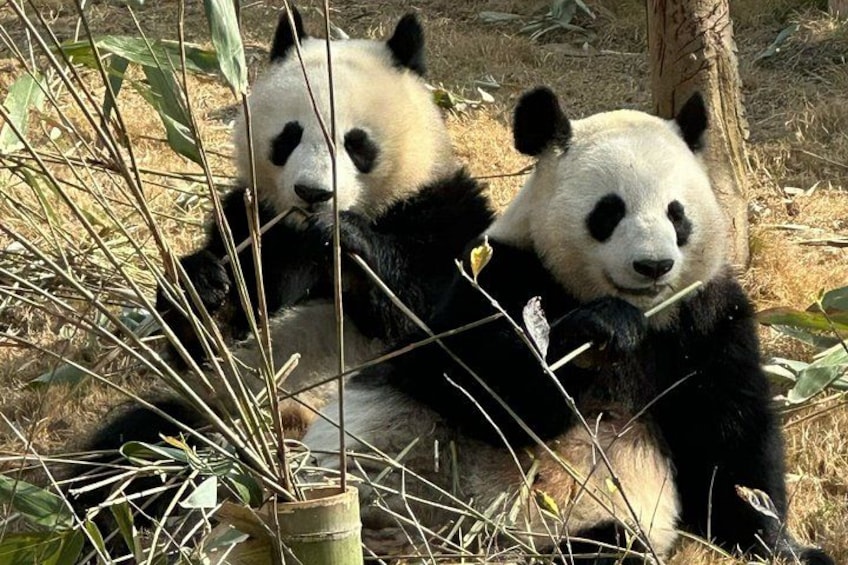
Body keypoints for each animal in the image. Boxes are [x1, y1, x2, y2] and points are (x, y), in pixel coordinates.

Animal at [156, 6, 493, 413]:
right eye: (289, 136)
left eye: (356, 143)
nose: (312, 193)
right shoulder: (253, 224)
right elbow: (206, 350)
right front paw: (201, 283)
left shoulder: (446, 216)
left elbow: (440, 325)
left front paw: (346, 238)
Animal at [303, 87, 833, 564]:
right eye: (609, 211)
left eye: (677, 214)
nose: (654, 265)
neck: (644, 314)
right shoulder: (500, 274)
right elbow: (475, 388)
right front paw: (596, 334)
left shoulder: (707, 317)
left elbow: (731, 437)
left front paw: (782, 545)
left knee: (609, 546)